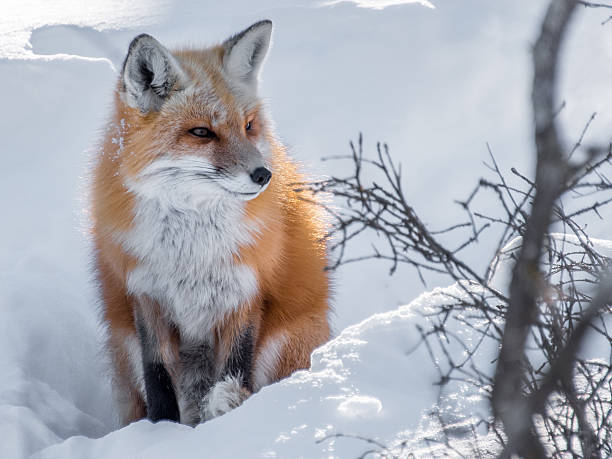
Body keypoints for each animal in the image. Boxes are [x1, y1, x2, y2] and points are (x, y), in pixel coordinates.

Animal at [91, 19, 332, 426]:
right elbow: (157, 375)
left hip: (288, 341)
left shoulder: (245, 291)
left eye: (249, 126)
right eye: (202, 132)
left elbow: (236, 366)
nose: (264, 176)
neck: (192, 250)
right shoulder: (145, 294)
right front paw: (160, 430)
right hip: (123, 345)